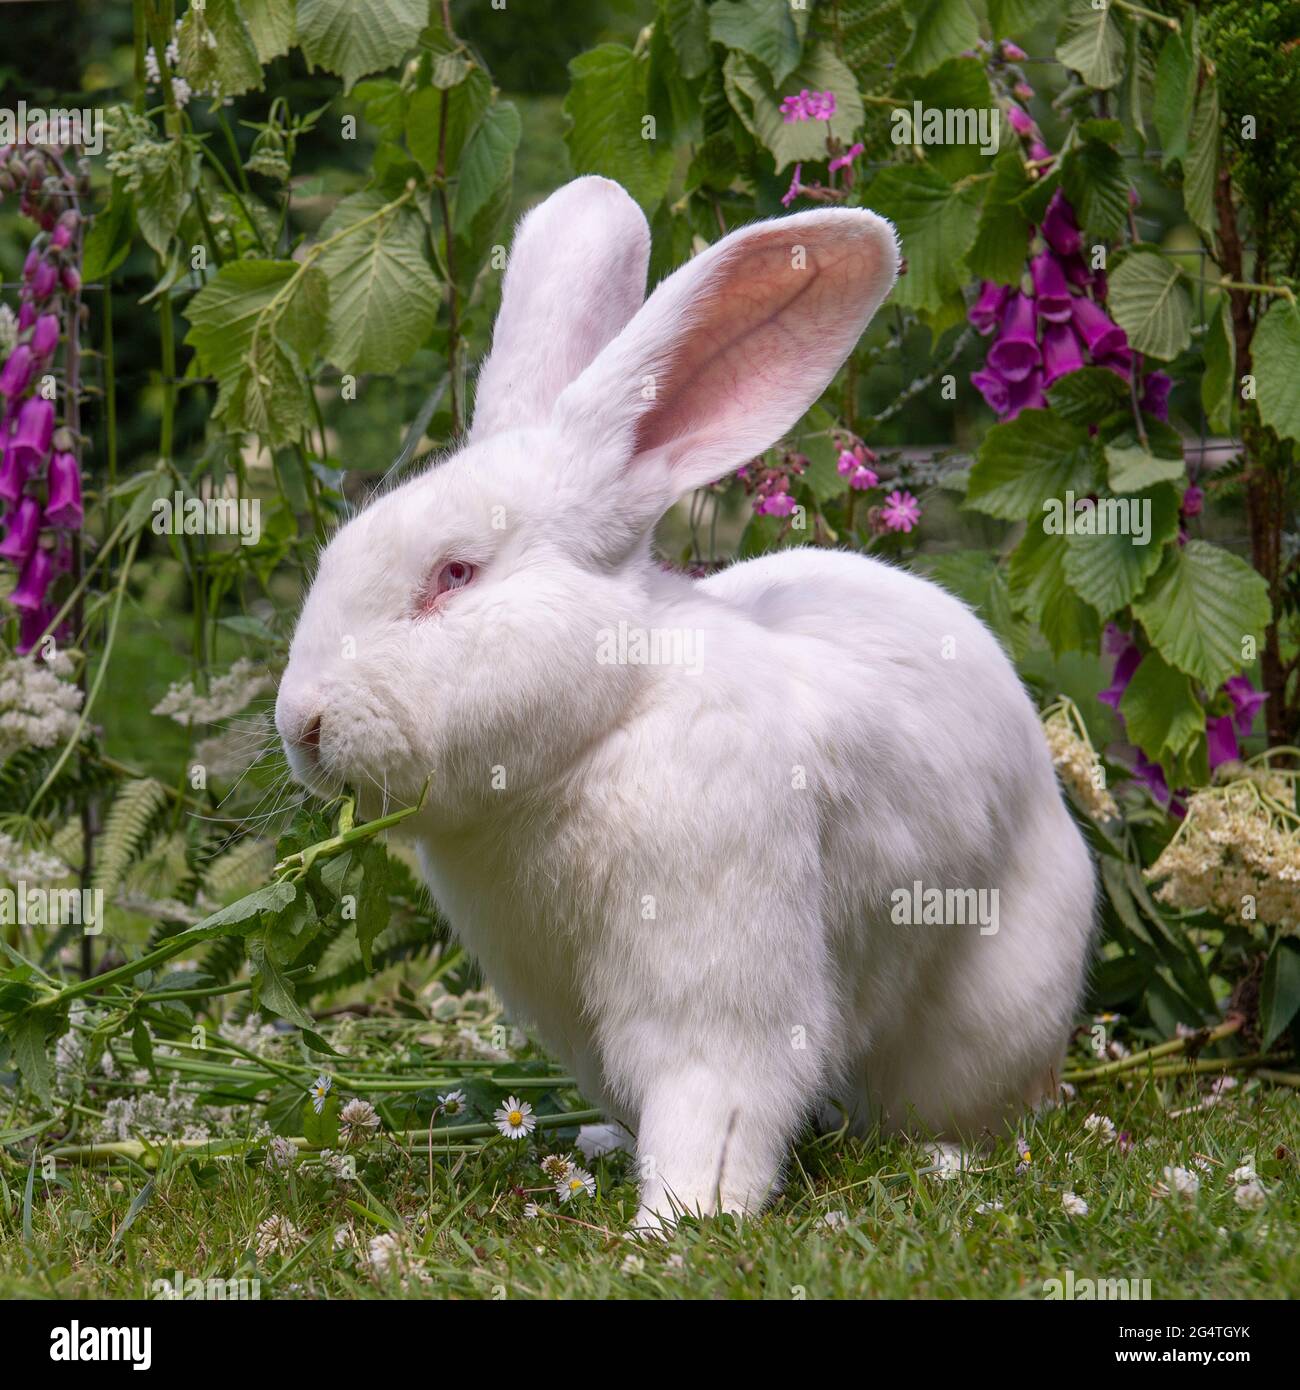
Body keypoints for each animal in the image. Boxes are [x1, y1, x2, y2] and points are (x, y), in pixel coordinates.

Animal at [276, 176, 1096, 1232]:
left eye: (454, 574)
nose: (302, 725)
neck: (606, 722)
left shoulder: (717, 978)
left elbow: (716, 1101)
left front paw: (680, 1222)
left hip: (983, 1015)